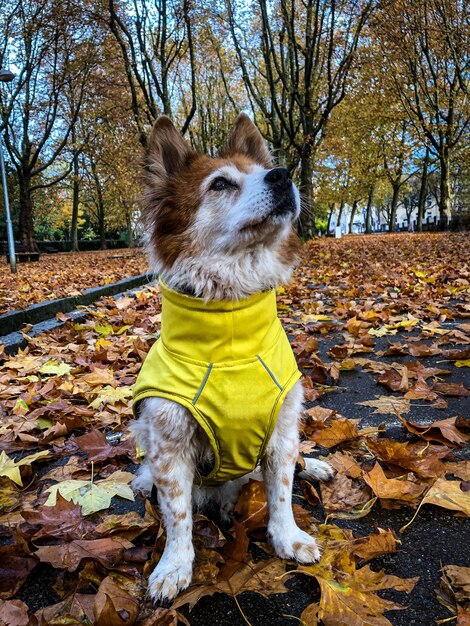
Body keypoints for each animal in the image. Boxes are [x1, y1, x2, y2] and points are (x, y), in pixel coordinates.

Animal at [130, 112, 332, 600]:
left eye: (263, 170)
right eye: (220, 184)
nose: (282, 175)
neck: (230, 343)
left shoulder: (282, 427)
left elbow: (281, 491)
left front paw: (288, 538)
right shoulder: (168, 446)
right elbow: (178, 515)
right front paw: (174, 566)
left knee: (295, 465)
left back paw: (314, 466)